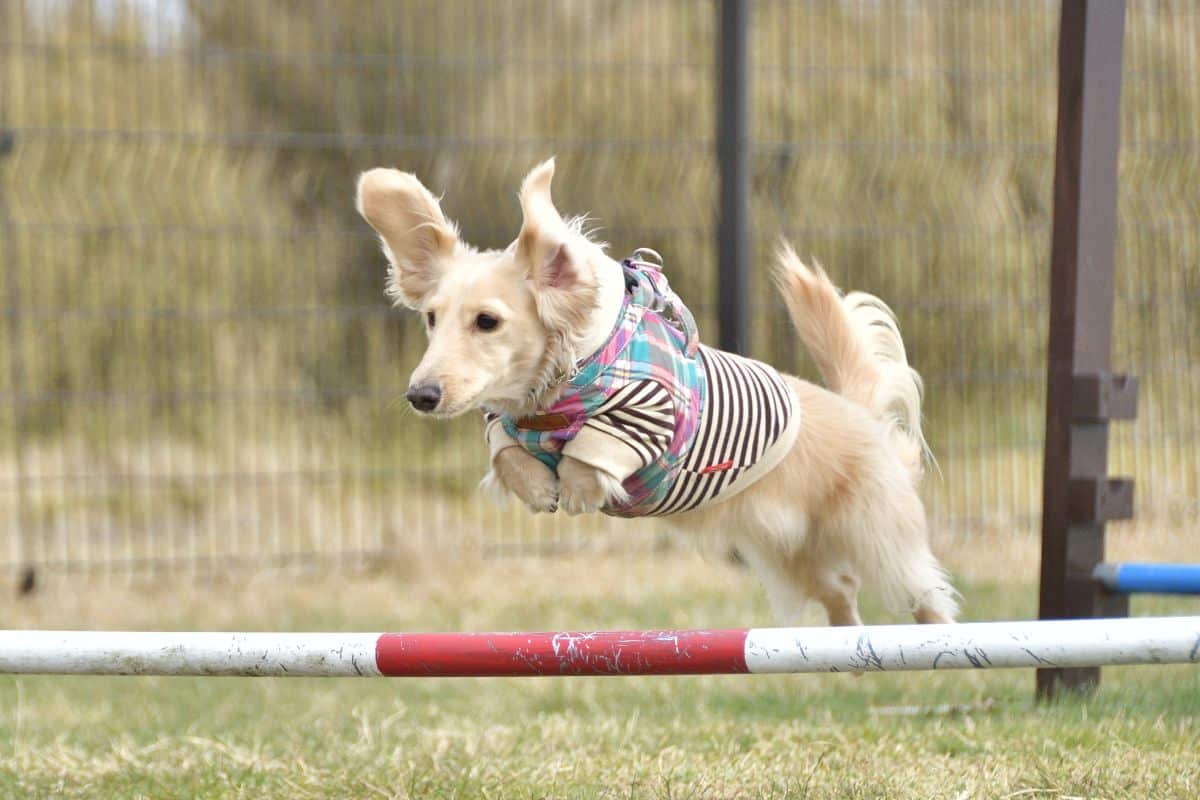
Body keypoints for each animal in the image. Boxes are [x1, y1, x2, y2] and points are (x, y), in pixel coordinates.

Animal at [352, 159, 955, 628]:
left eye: (487, 322)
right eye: (431, 319)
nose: (421, 395)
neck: (560, 392)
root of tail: (862, 416)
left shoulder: (648, 412)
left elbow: (595, 448)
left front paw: (576, 488)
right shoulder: (506, 426)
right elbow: (506, 452)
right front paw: (539, 487)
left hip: (880, 538)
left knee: (920, 591)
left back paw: (939, 640)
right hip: (791, 555)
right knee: (841, 595)